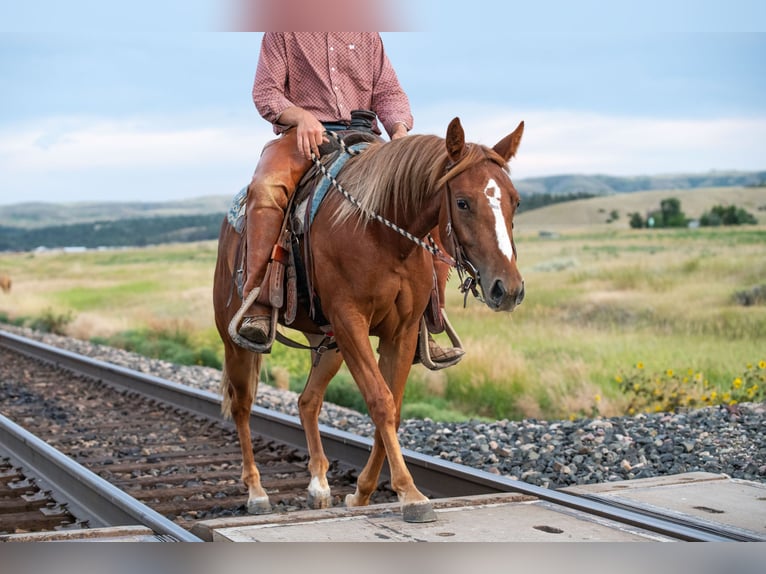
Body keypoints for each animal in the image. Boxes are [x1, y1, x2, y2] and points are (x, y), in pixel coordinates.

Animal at [212, 117, 525, 522]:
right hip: (238, 342)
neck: (382, 235)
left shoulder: (401, 333)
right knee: (242, 405)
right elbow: (380, 402)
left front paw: (362, 493)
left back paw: (319, 484)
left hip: (328, 345)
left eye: (515, 201)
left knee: (308, 401)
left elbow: (393, 407)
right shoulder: (351, 323)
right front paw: (410, 494)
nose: (509, 289)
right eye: (462, 202)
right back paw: (256, 492)